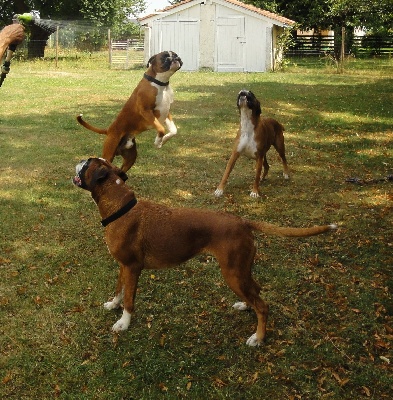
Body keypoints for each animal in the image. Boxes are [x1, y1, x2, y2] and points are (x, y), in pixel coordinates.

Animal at [72, 158, 336, 346]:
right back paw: (245, 306)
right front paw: (113, 305)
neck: (120, 206)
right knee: (256, 291)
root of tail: (242, 221)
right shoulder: (122, 266)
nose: (78, 161)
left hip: (232, 273)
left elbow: (129, 299)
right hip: (241, 271)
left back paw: (258, 338)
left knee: (263, 306)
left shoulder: (133, 268)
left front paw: (123, 323)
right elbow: (119, 290)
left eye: (86, 164)